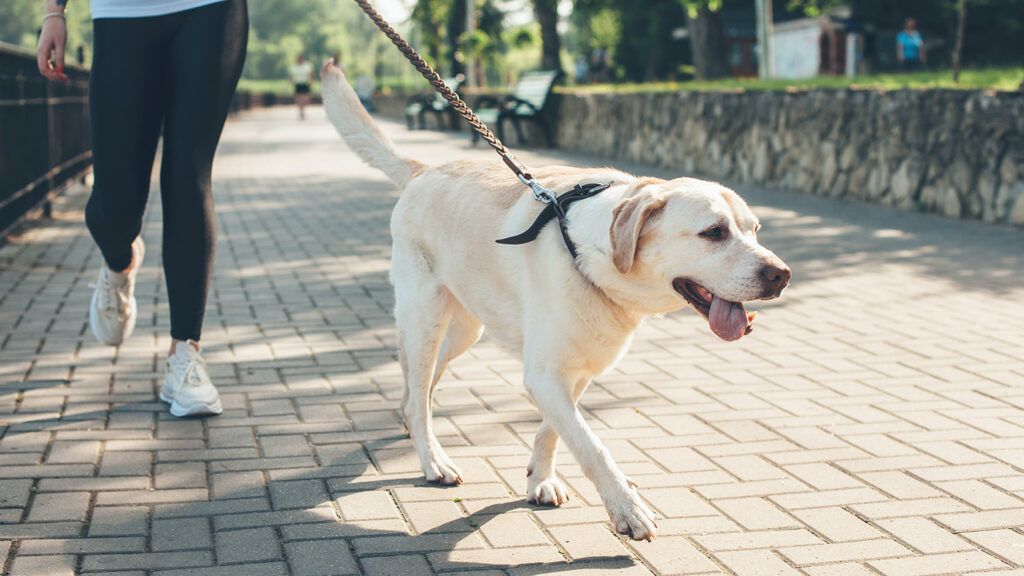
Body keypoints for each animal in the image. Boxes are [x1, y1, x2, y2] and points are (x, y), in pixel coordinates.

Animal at [321, 60, 790, 541]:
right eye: (713, 232)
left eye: (755, 230)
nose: (781, 275)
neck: (589, 254)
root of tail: (422, 171)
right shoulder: (545, 375)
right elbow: (592, 446)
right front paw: (627, 509)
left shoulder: (574, 370)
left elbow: (554, 431)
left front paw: (540, 479)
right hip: (425, 319)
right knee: (418, 392)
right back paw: (432, 457)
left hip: (465, 331)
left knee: (421, 387)